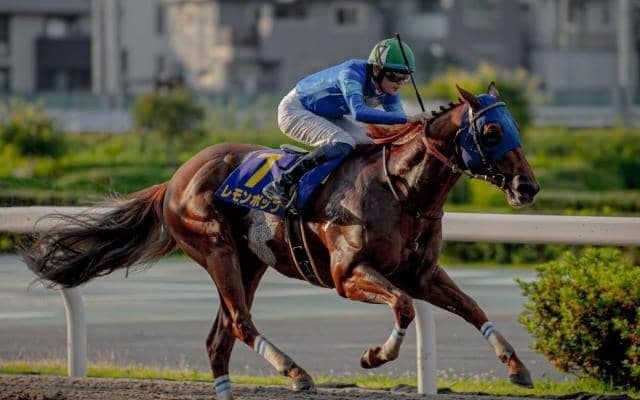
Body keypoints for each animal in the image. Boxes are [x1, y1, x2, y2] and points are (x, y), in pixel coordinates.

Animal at [22, 83, 539, 400]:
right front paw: (374, 356)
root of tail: (175, 179)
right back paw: (297, 373)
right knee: (239, 324)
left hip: (250, 262)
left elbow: (471, 307)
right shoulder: (347, 274)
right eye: (492, 130)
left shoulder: (421, 272)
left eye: (515, 127)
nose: (528, 187)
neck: (402, 190)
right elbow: (405, 307)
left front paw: (516, 367)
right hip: (217, 250)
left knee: (220, 337)